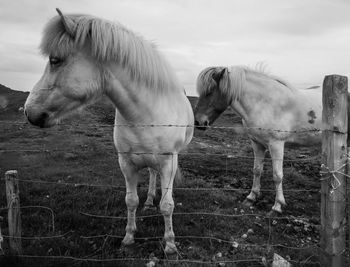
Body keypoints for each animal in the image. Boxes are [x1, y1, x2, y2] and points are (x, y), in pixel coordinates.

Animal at [23, 8, 194, 255]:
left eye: (55, 60)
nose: (29, 112)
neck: (144, 115)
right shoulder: (126, 163)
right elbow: (131, 201)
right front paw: (129, 237)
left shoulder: (168, 163)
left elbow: (167, 205)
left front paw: (170, 244)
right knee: (151, 176)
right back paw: (149, 200)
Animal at [194, 66, 322, 215]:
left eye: (209, 92)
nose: (198, 122)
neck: (265, 103)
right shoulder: (257, 143)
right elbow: (257, 170)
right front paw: (251, 198)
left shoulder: (276, 145)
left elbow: (277, 176)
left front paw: (277, 206)